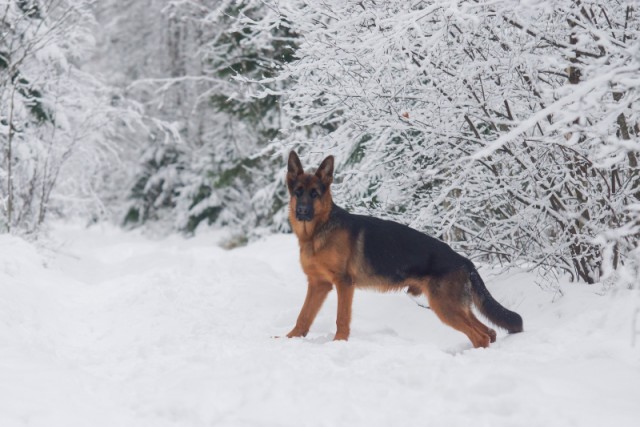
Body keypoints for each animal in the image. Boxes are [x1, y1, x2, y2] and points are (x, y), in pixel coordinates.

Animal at [288, 152, 524, 350]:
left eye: (315, 194)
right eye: (298, 193)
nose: (302, 211)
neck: (317, 231)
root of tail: (464, 260)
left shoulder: (344, 284)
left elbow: (341, 318)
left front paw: (339, 343)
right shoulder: (319, 285)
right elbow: (303, 316)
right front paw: (289, 339)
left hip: (445, 306)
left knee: (481, 336)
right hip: (455, 307)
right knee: (489, 332)